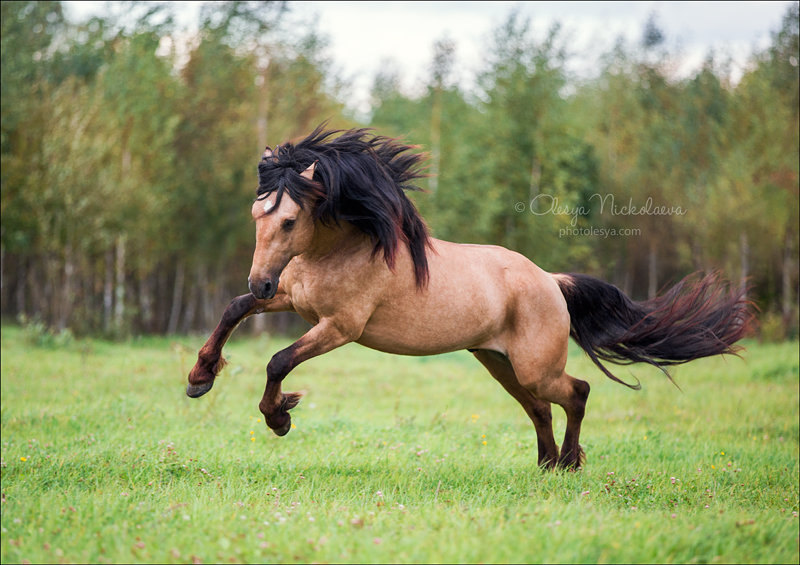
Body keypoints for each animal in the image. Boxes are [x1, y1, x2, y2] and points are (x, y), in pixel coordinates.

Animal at [184, 125, 752, 470]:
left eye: (288, 220)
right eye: (256, 214)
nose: (260, 280)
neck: (347, 245)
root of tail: (551, 281)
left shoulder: (340, 327)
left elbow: (279, 360)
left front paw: (279, 416)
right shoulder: (292, 301)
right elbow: (233, 310)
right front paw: (199, 378)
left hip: (534, 366)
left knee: (577, 392)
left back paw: (569, 462)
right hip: (499, 363)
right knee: (540, 409)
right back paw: (547, 465)